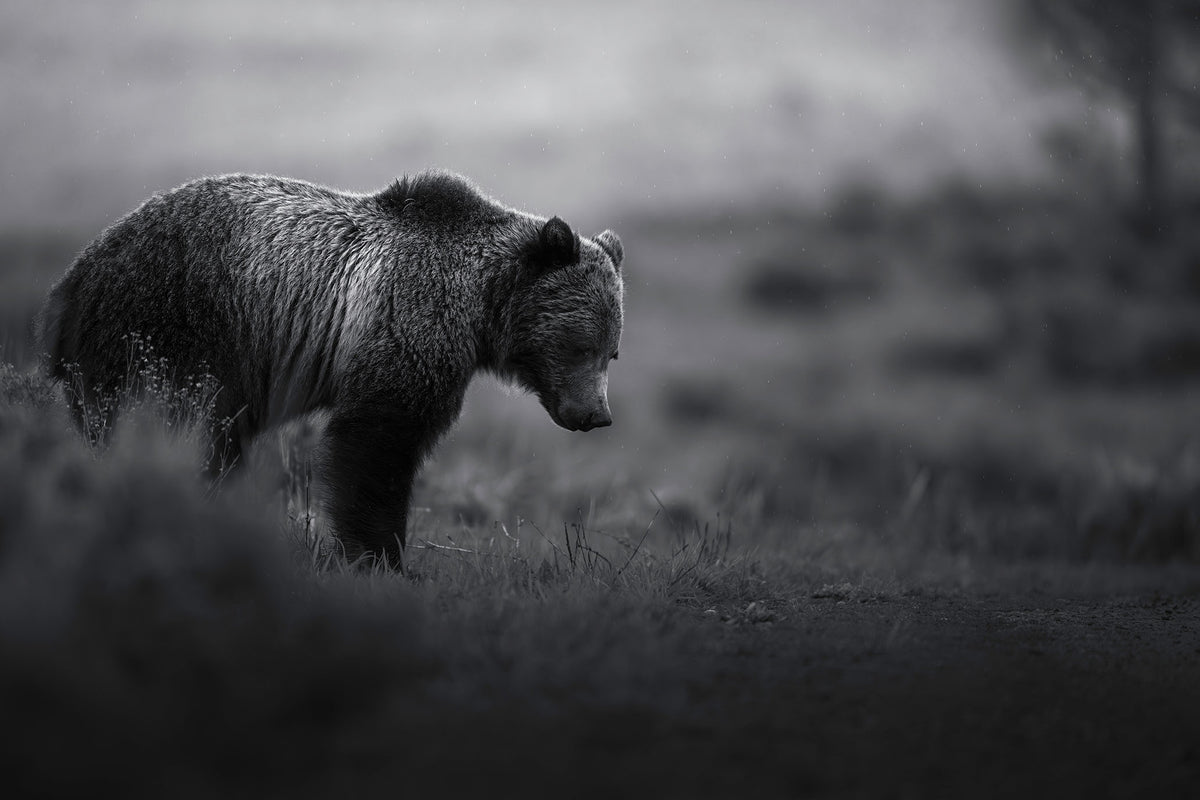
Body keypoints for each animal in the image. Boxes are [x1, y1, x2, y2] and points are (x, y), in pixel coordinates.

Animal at [39, 170, 625, 568]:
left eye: (612, 351)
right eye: (581, 344)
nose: (597, 415)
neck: (479, 305)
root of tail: (70, 284)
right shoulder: (406, 321)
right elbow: (375, 444)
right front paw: (380, 556)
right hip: (169, 328)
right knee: (168, 423)